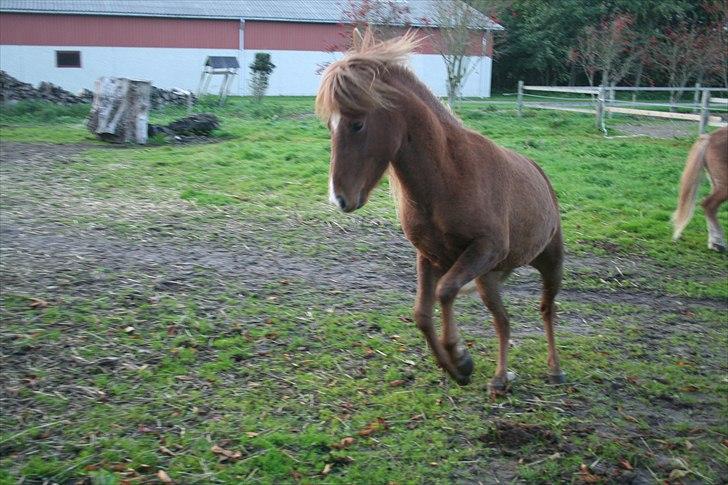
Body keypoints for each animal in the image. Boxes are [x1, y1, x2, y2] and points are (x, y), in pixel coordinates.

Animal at [316, 31, 564, 394]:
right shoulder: (430, 256)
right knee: (502, 320)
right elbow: (422, 312)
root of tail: (539, 172)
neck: (449, 175)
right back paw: (500, 378)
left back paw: (554, 369)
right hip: (488, 277)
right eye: (329, 126)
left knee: (546, 310)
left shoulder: (483, 249)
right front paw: (455, 367)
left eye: (357, 124)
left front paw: (460, 357)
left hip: (549, 262)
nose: (339, 198)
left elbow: (445, 292)